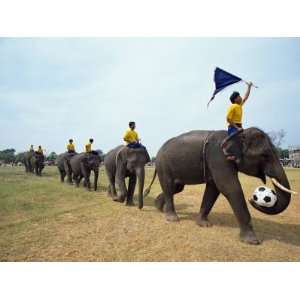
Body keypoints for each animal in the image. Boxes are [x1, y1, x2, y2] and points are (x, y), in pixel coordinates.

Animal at [144, 127, 296, 245]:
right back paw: (172, 218)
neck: (237, 134)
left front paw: (204, 224)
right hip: (163, 165)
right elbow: (229, 187)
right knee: (169, 187)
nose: (252, 199)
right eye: (265, 155)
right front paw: (252, 241)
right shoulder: (218, 158)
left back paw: (159, 208)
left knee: (176, 187)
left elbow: (214, 189)